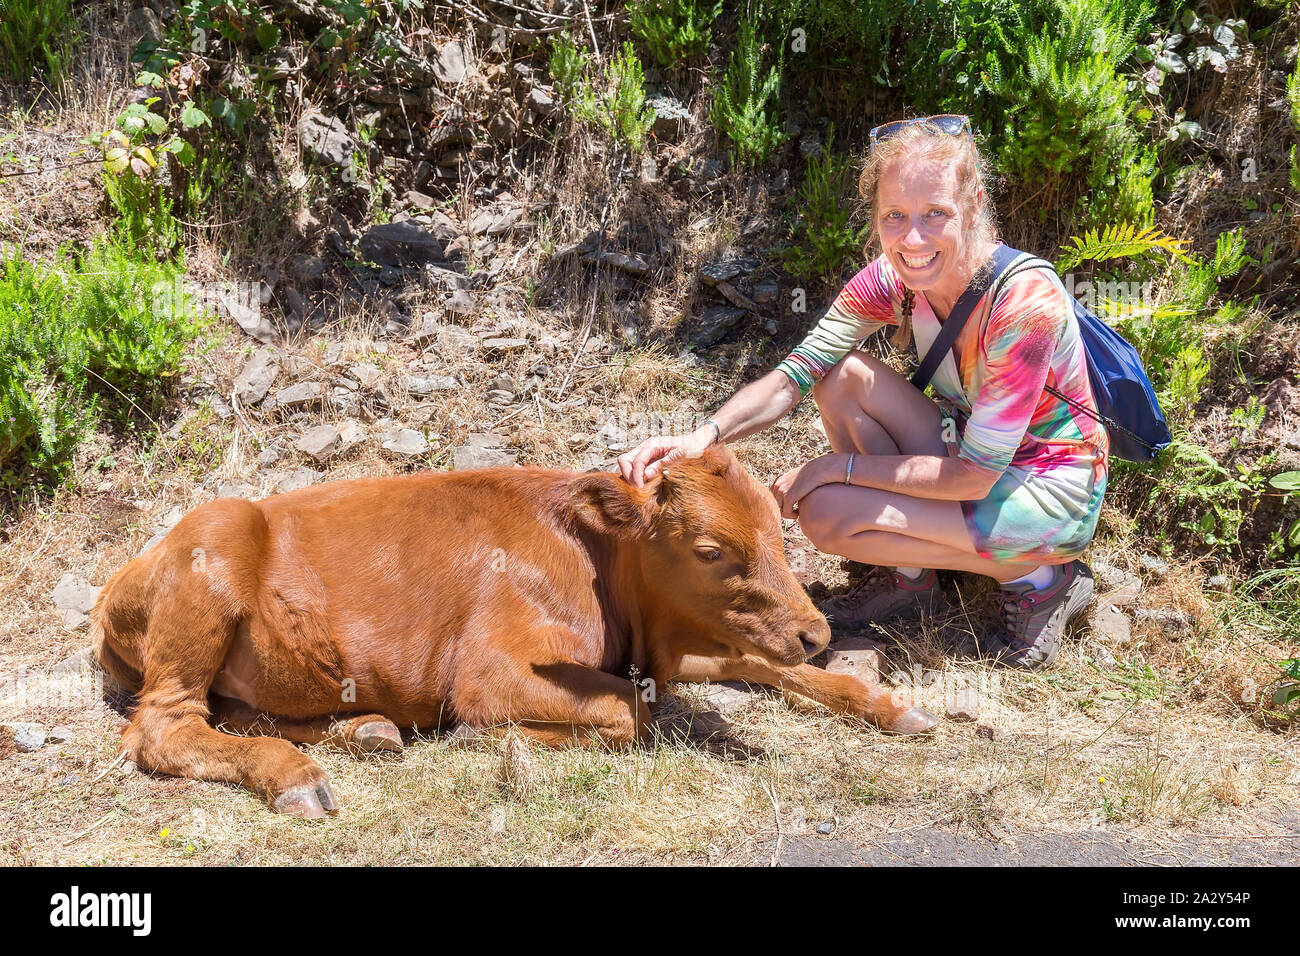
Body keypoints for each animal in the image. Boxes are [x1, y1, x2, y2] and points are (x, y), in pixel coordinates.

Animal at [96, 444, 941, 816]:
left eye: (777, 526)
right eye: (710, 550)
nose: (814, 628)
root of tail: (120, 582)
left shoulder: (673, 646)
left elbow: (767, 667)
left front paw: (890, 706)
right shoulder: (494, 670)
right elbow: (629, 715)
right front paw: (489, 739)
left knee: (237, 715)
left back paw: (365, 730)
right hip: (213, 556)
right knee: (164, 727)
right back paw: (296, 777)